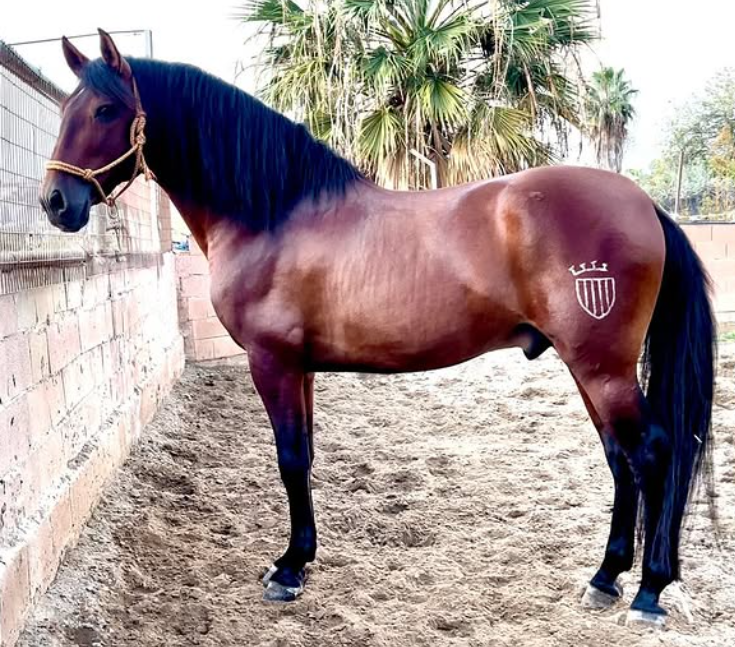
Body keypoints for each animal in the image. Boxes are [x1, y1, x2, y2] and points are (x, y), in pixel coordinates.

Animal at [41, 30, 717, 626]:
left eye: (104, 109)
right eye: (70, 108)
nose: (55, 203)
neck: (273, 214)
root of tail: (644, 204)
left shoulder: (272, 362)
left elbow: (288, 458)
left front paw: (288, 570)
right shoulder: (300, 368)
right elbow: (305, 456)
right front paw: (302, 557)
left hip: (601, 367)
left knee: (652, 453)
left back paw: (649, 592)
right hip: (588, 367)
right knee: (620, 457)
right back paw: (605, 578)